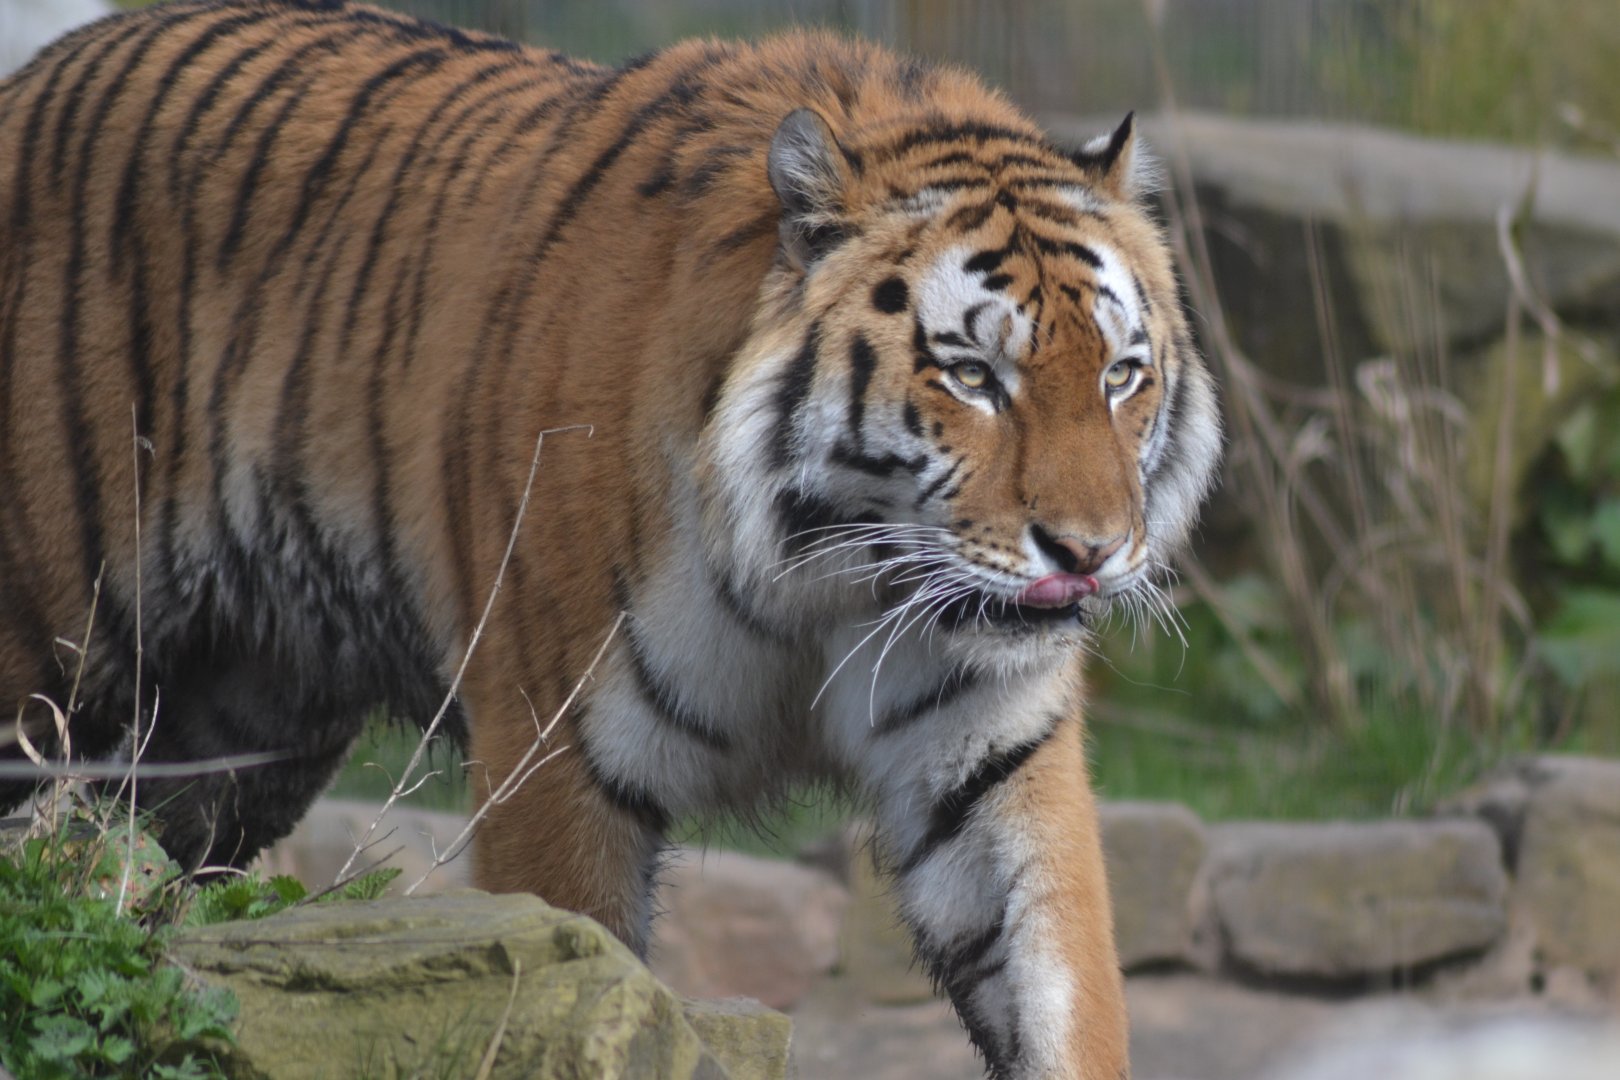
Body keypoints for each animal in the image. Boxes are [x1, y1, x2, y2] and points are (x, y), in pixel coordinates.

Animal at [0, 0, 1221, 1075]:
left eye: (1121, 375)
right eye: (971, 375)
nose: (1090, 551)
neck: (834, 574)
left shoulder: (994, 760)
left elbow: (1058, 981)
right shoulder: (554, 756)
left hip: (232, 737)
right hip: (40, 665)